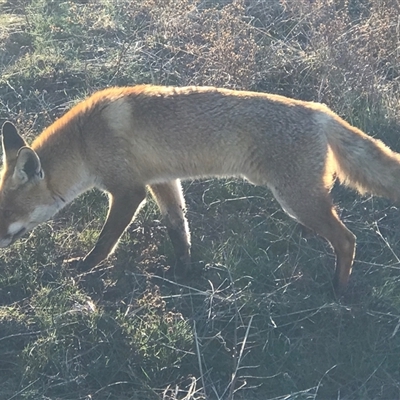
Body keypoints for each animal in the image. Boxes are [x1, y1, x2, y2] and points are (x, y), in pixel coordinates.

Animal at [0, 85, 400, 294]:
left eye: (8, 215)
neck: (84, 142)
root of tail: (320, 111)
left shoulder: (129, 191)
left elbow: (104, 242)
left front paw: (83, 268)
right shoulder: (162, 180)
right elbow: (178, 228)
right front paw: (184, 270)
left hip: (297, 199)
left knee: (347, 240)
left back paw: (338, 289)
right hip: (301, 199)